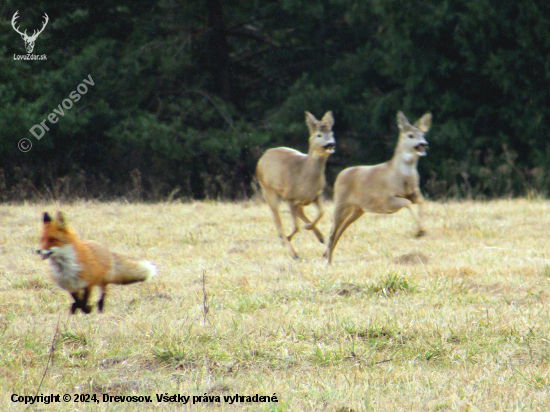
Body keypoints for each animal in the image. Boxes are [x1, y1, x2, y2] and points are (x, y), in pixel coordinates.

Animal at [258, 109, 338, 258]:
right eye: (318, 135)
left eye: (332, 133)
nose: (331, 144)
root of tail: (264, 155)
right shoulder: (289, 196)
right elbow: (296, 227)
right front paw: (290, 240)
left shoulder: (317, 194)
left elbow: (322, 212)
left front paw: (311, 228)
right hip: (267, 187)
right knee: (277, 220)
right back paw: (292, 250)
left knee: (299, 212)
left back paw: (318, 236)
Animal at [326, 110, 434, 264]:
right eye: (410, 135)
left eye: (423, 134)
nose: (424, 144)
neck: (401, 176)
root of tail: (340, 175)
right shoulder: (387, 199)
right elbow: (407, 202)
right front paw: (419, 231)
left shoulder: (414, 193)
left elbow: (421, 201)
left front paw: (422, 229)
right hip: (341, 202)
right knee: (333, 231)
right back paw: (327, 260)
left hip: (358, 209)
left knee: (340, 230)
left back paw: (329, 259)